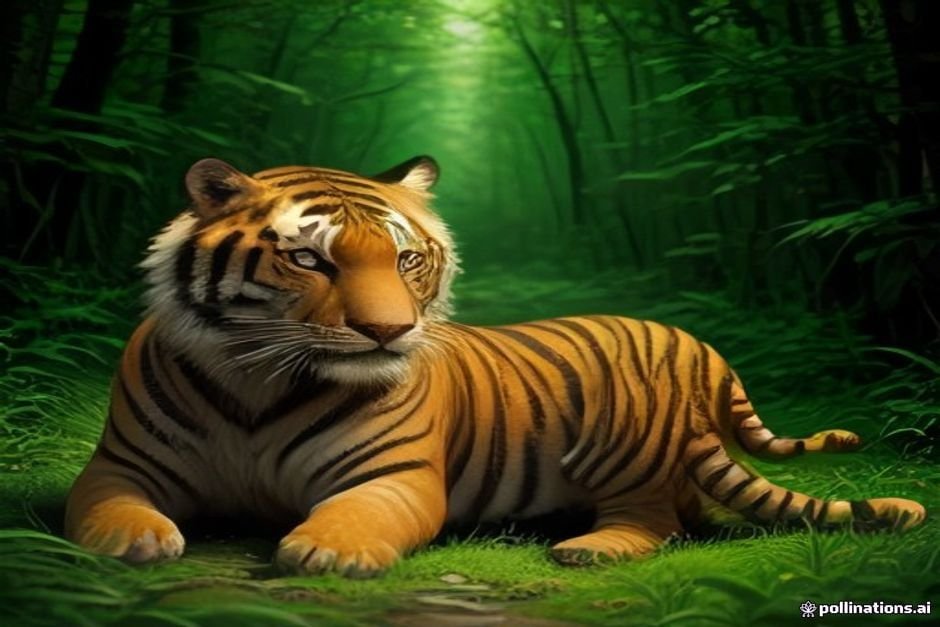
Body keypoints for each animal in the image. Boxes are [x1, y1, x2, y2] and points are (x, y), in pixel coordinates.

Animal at [65, 156, 926, 577]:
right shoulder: (120, 463)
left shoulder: (394, 475)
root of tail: (703, 349)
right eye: (308, 259)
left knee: (657, 520)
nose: (389, 331)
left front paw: (326, 549)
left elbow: (358, 514)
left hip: (623, 444)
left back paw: (589, 546)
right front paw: (135, 540)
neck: (256, 376)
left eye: (407, 259)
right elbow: (107, 505)